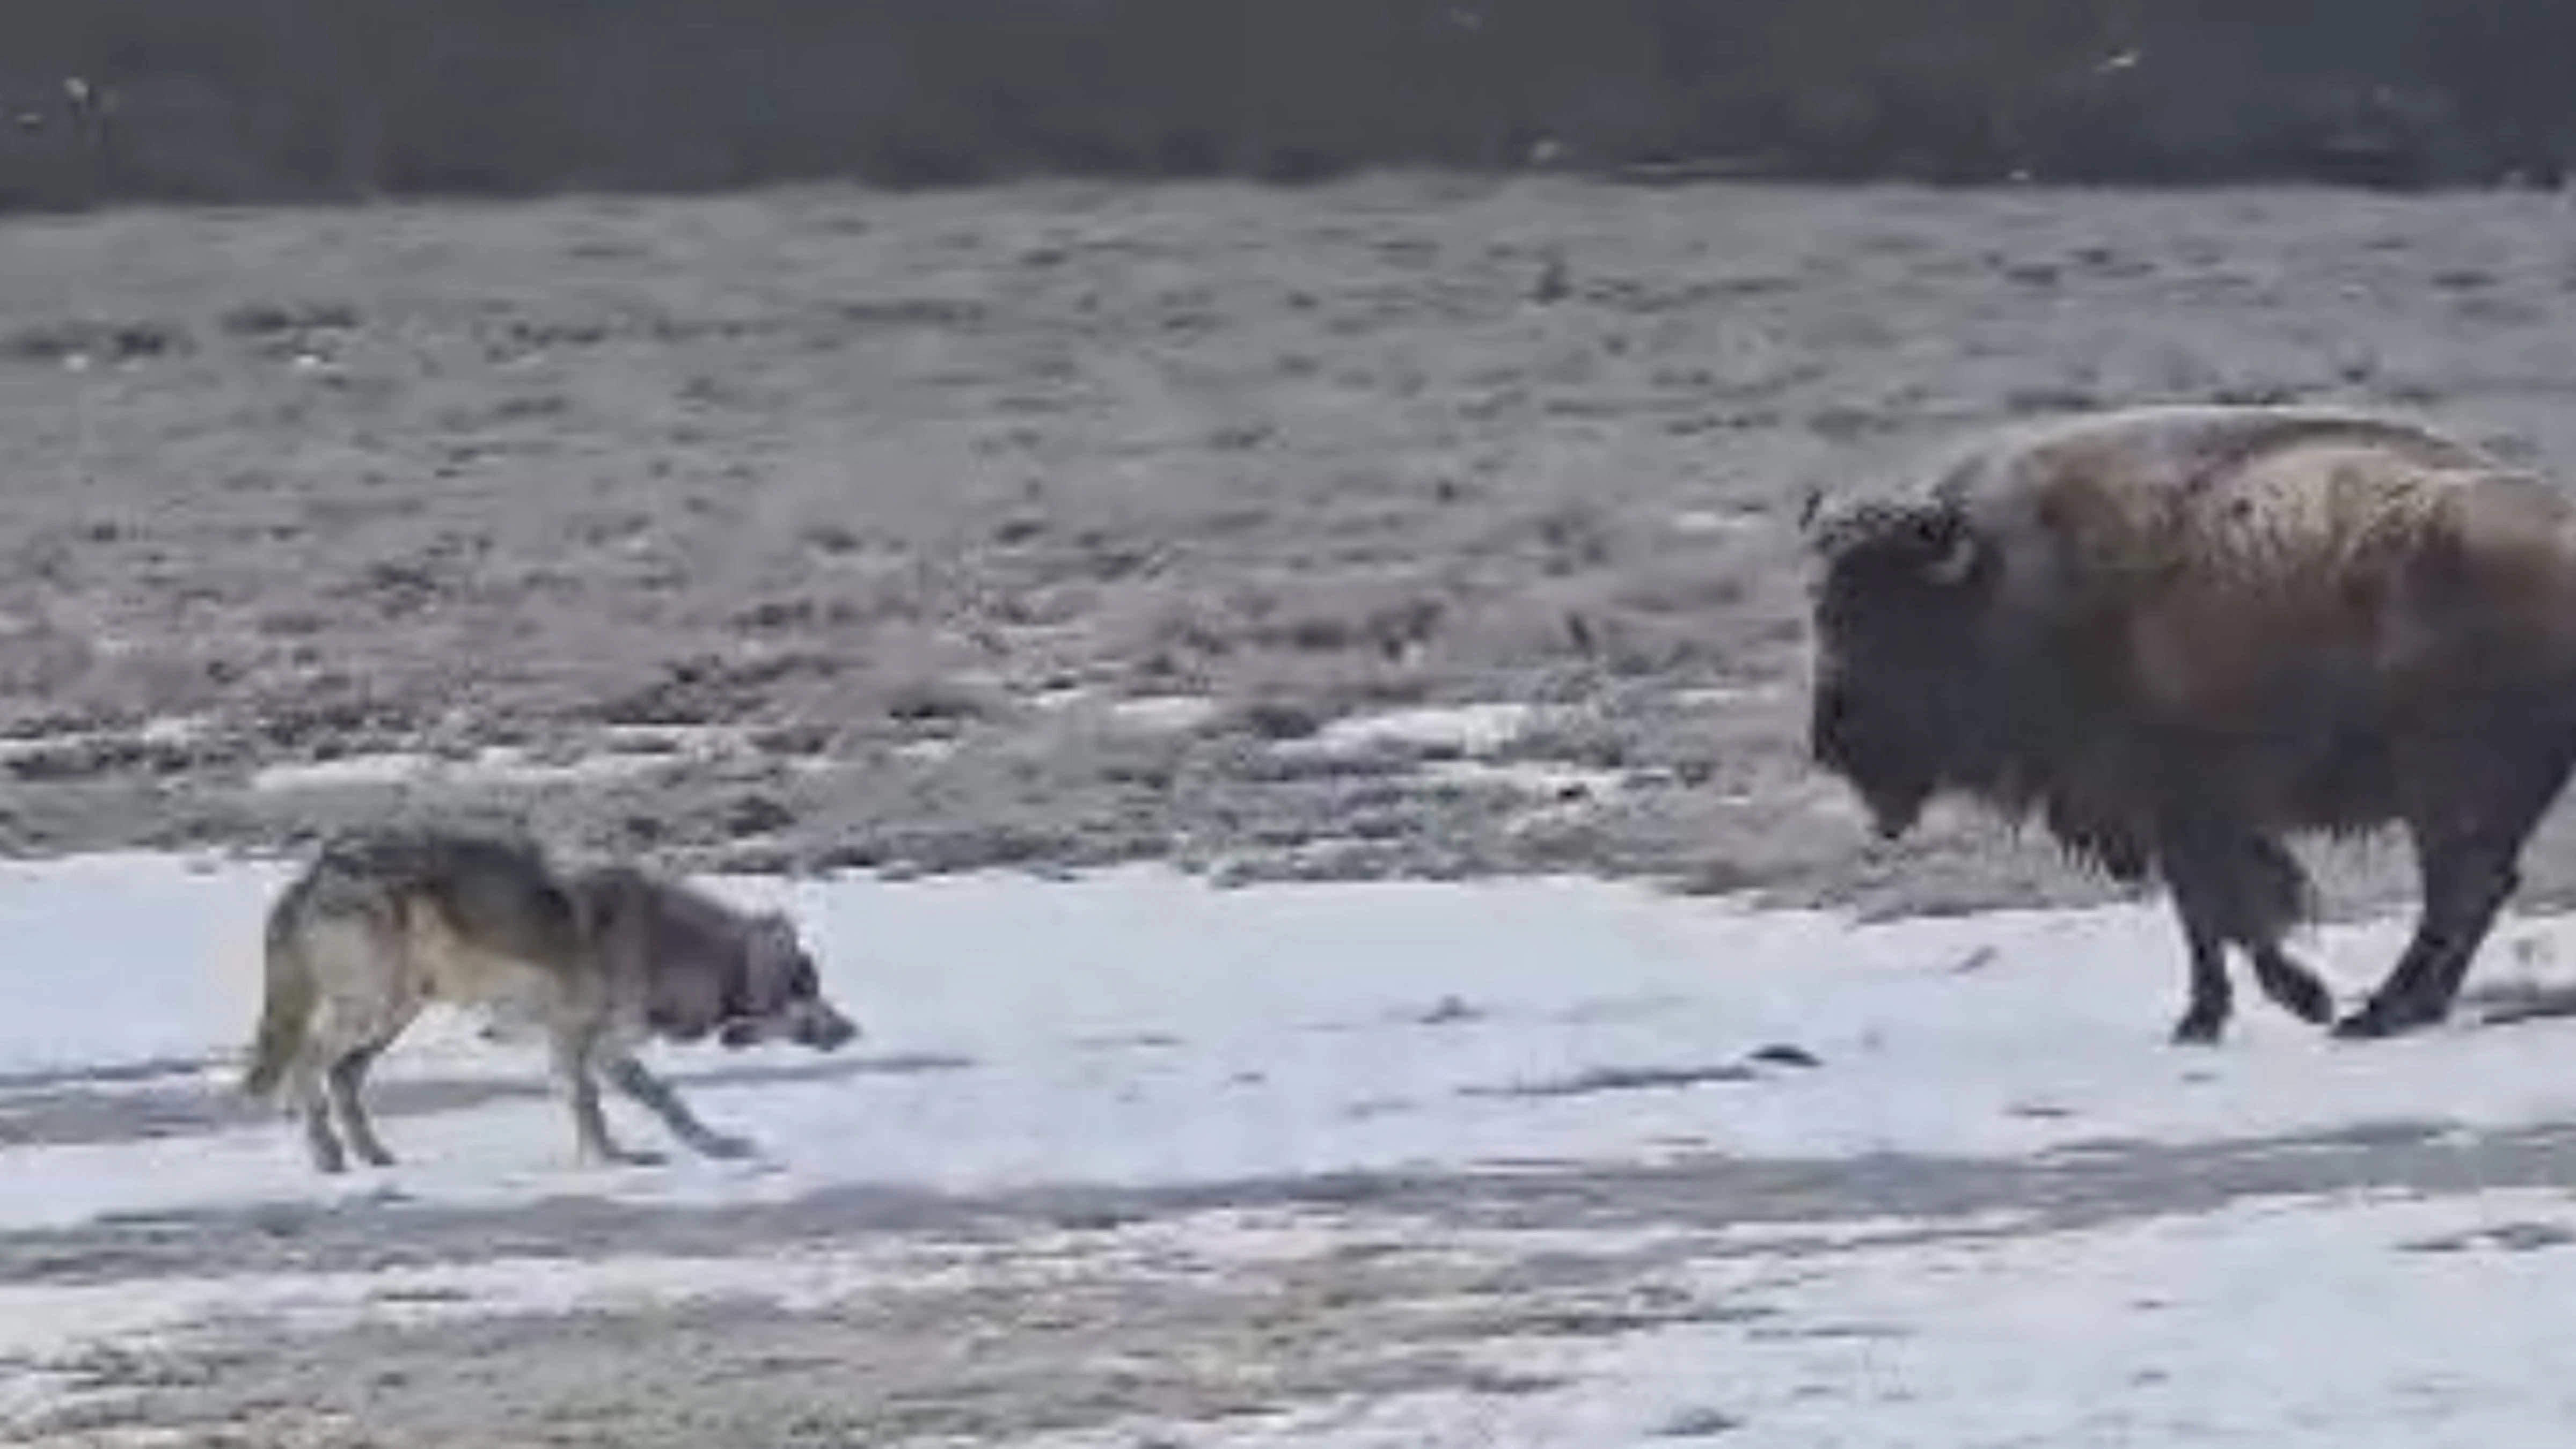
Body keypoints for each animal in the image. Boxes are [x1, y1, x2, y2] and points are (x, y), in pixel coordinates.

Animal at [239, 824, 859, 1173]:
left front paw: (716, 1146)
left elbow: (667, 1101)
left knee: (342, 1078)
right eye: (809, 990)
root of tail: (314, 873)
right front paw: (609, 1162)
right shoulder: (571, 1040)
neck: (678, 950)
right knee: (306, 1064)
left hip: (393, 1015)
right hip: (370, 1010)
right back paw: (326, 1155)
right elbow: (588, 1103)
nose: (852, 1031)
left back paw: (373, 1155)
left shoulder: (609, 1049)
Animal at [1799, 402, 2576, 1044]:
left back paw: (2381, 1014)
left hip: (2447, 786)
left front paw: (2257, 1008)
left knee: (2460, 887)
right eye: (1825, 607)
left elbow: (2220, 912)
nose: (1832, 737)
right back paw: (2400, 1010)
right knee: (2473, 889)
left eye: (1898, 616)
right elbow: (2220, 914)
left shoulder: (2183, 805)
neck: (2014, 577)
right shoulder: (2184, 815)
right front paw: (2242, 1009)